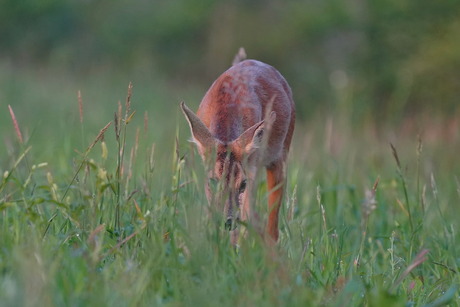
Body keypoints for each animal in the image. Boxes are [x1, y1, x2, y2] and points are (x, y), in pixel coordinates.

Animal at [180, 53, 294, 245]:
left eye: (242, 183)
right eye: (212, 180)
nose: (228, 221)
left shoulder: (251, 167)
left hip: (279, 156)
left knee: (271, 224)